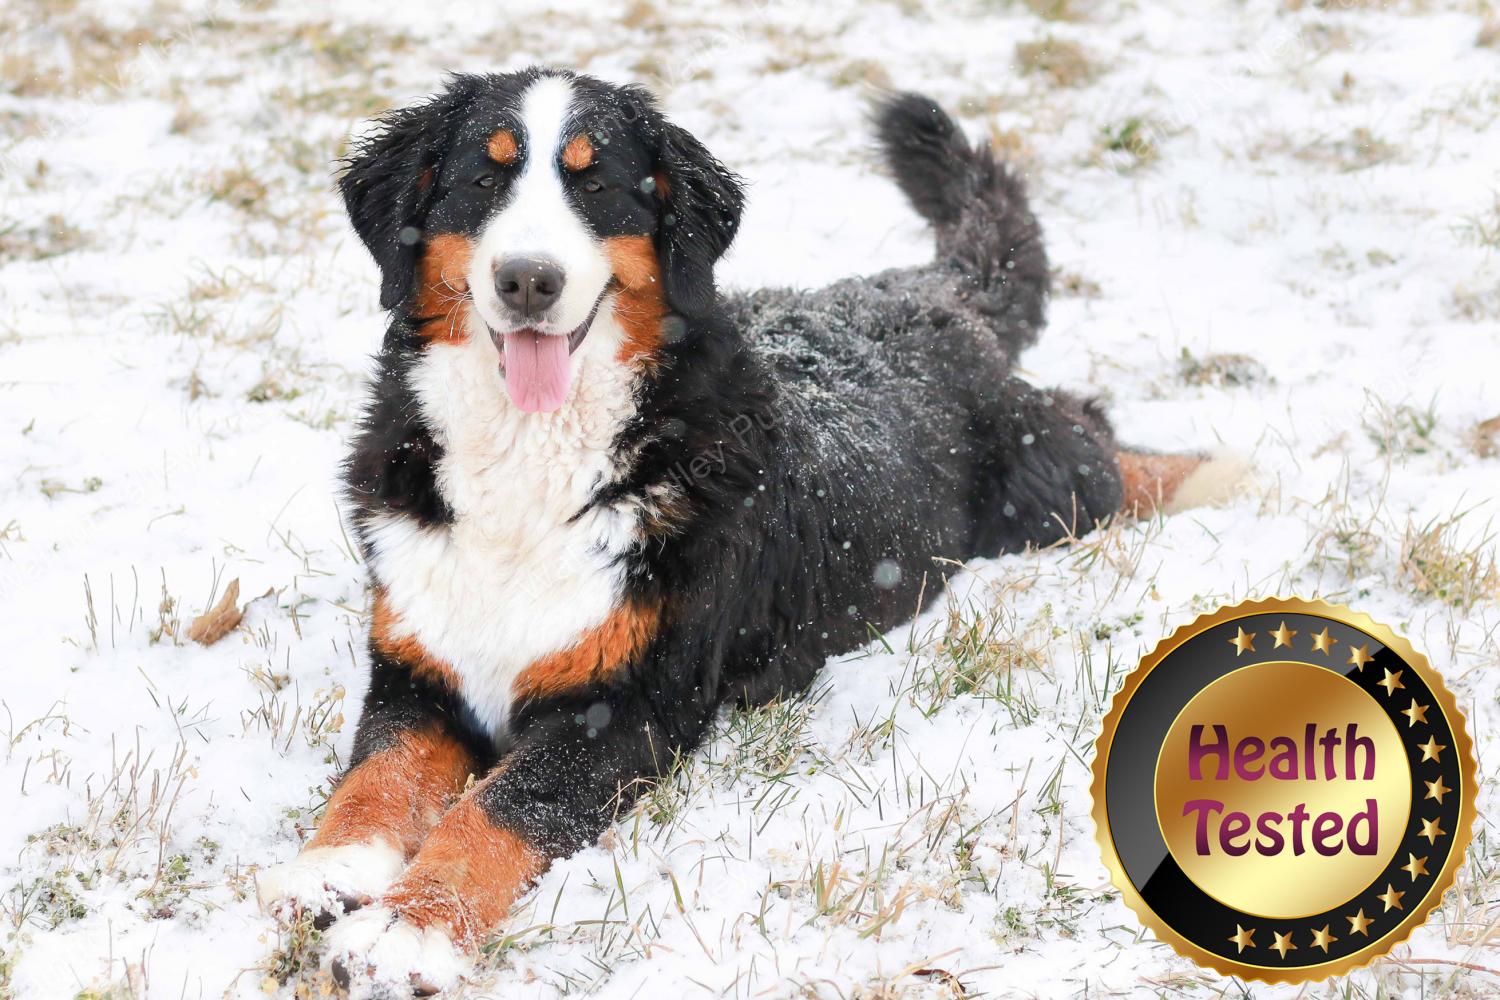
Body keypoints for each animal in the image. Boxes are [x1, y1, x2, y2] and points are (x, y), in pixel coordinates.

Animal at [258, 68, 1242, 995]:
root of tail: (919, 288)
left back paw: (1220, 473)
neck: (529, 461)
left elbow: (498, 810)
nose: (528, 279)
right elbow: (374, 780)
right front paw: (329, 872)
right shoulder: (417, 668)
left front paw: (405, 929)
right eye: (481, 177)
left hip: (1046, 492)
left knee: (1097, 439)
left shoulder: (627, 707)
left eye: (596, 184)